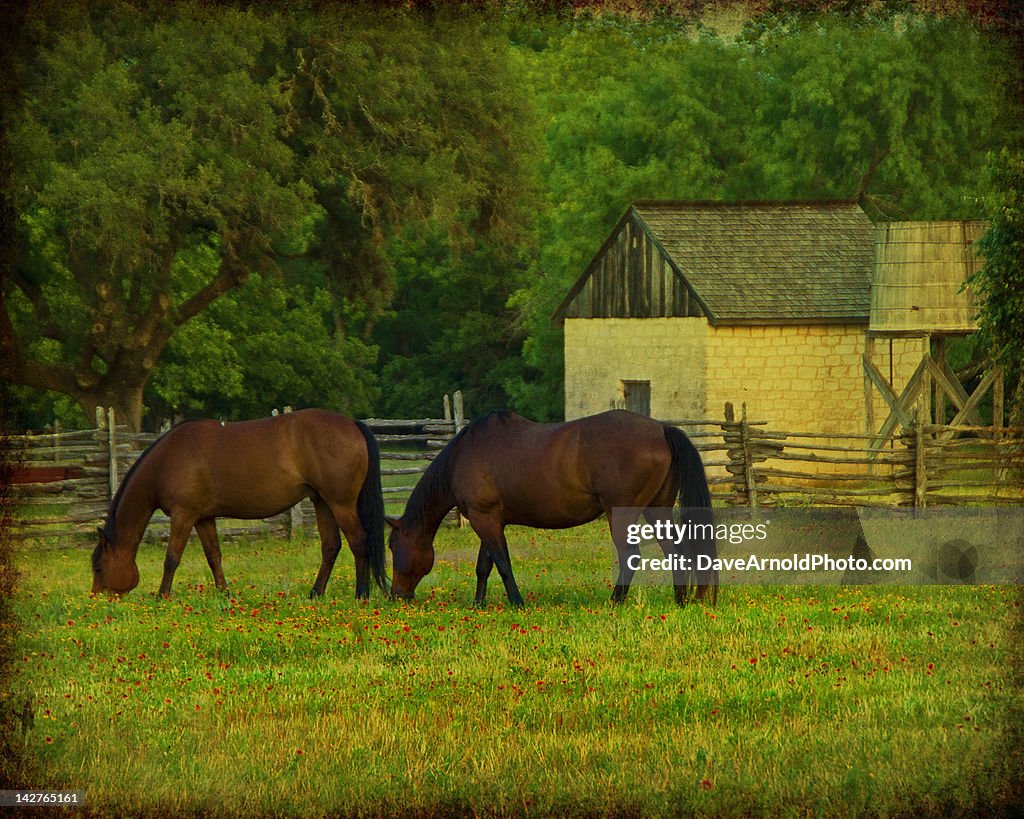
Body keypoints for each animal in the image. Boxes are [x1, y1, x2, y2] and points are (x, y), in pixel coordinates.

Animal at [91, 413, 387, 597]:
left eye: (99, 567)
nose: (96, 598)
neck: (167, 460)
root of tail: (352, 424)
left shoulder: (183, 515)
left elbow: (171, 558)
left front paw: (162, 596)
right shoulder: (203, 518)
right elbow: (213, 557)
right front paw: (224, 593)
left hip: (341, 504)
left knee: (359, 542)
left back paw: (361, 594)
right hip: (322, 502)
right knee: (331, 547)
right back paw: (315, 593)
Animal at [385, 409, 720, 606]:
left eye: (392, 546)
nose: (396, 595)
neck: (465, 454)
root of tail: (662, 429)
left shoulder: (485, 520)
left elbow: (502, 564)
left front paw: (517, 602)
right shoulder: (489, 520)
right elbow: (484, 566)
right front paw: (479, 604)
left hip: (622, 515)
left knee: (631, 556)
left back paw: (614, 601)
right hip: (656, 509)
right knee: (675, 551)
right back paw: (680, 600)